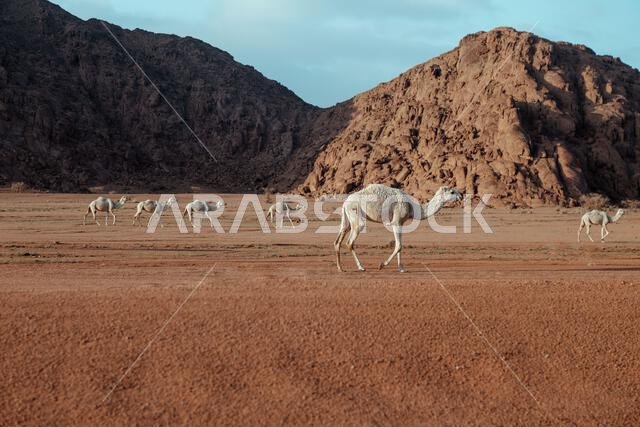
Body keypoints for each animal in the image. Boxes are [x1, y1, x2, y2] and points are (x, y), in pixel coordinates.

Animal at [335, 184, 463, 272]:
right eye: (452, 191)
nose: (461, 195)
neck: (412, 207)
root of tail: (345, 202)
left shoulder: (401, 223)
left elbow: (400, 245)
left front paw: (401, 268)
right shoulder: (395, 222)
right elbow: (399, 245)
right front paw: (382, 265)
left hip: (347, 219)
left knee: (338, 241)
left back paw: (340, 268)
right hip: (356, 215)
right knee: (350, 242)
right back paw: (361, 267)